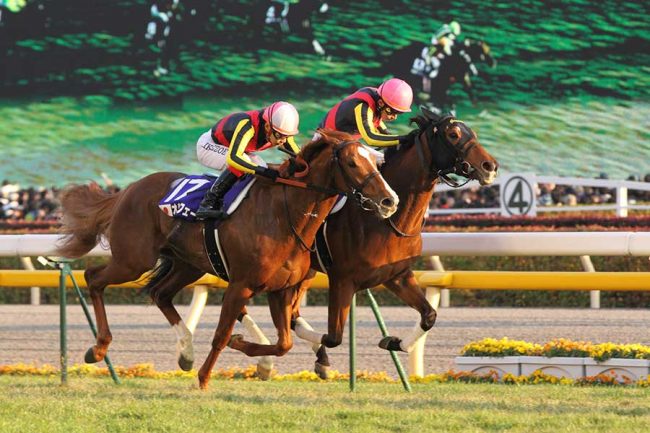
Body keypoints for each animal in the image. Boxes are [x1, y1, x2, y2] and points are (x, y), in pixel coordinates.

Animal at [56, 129, 399, 389]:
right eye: (353, 162)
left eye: (376, 160)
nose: (389, 200)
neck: (284, 214)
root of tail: (127, 190)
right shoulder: (241, 285)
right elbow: (221, 335)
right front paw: (205, 377)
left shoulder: (281, 289)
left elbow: (284, 342)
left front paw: (245, 348)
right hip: (133, 259)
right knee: (94, 278)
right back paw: (98, 348)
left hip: (187, 264)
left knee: (159, 293)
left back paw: (185, 353)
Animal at [240, 108, 498, 378]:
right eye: (453, 134)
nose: (490, 166)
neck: (388, 221)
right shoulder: (342, 280)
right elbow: (333, 336)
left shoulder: (397, 275)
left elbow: (429, 315)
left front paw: (392, 342)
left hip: (305, 271)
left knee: (291, 312)